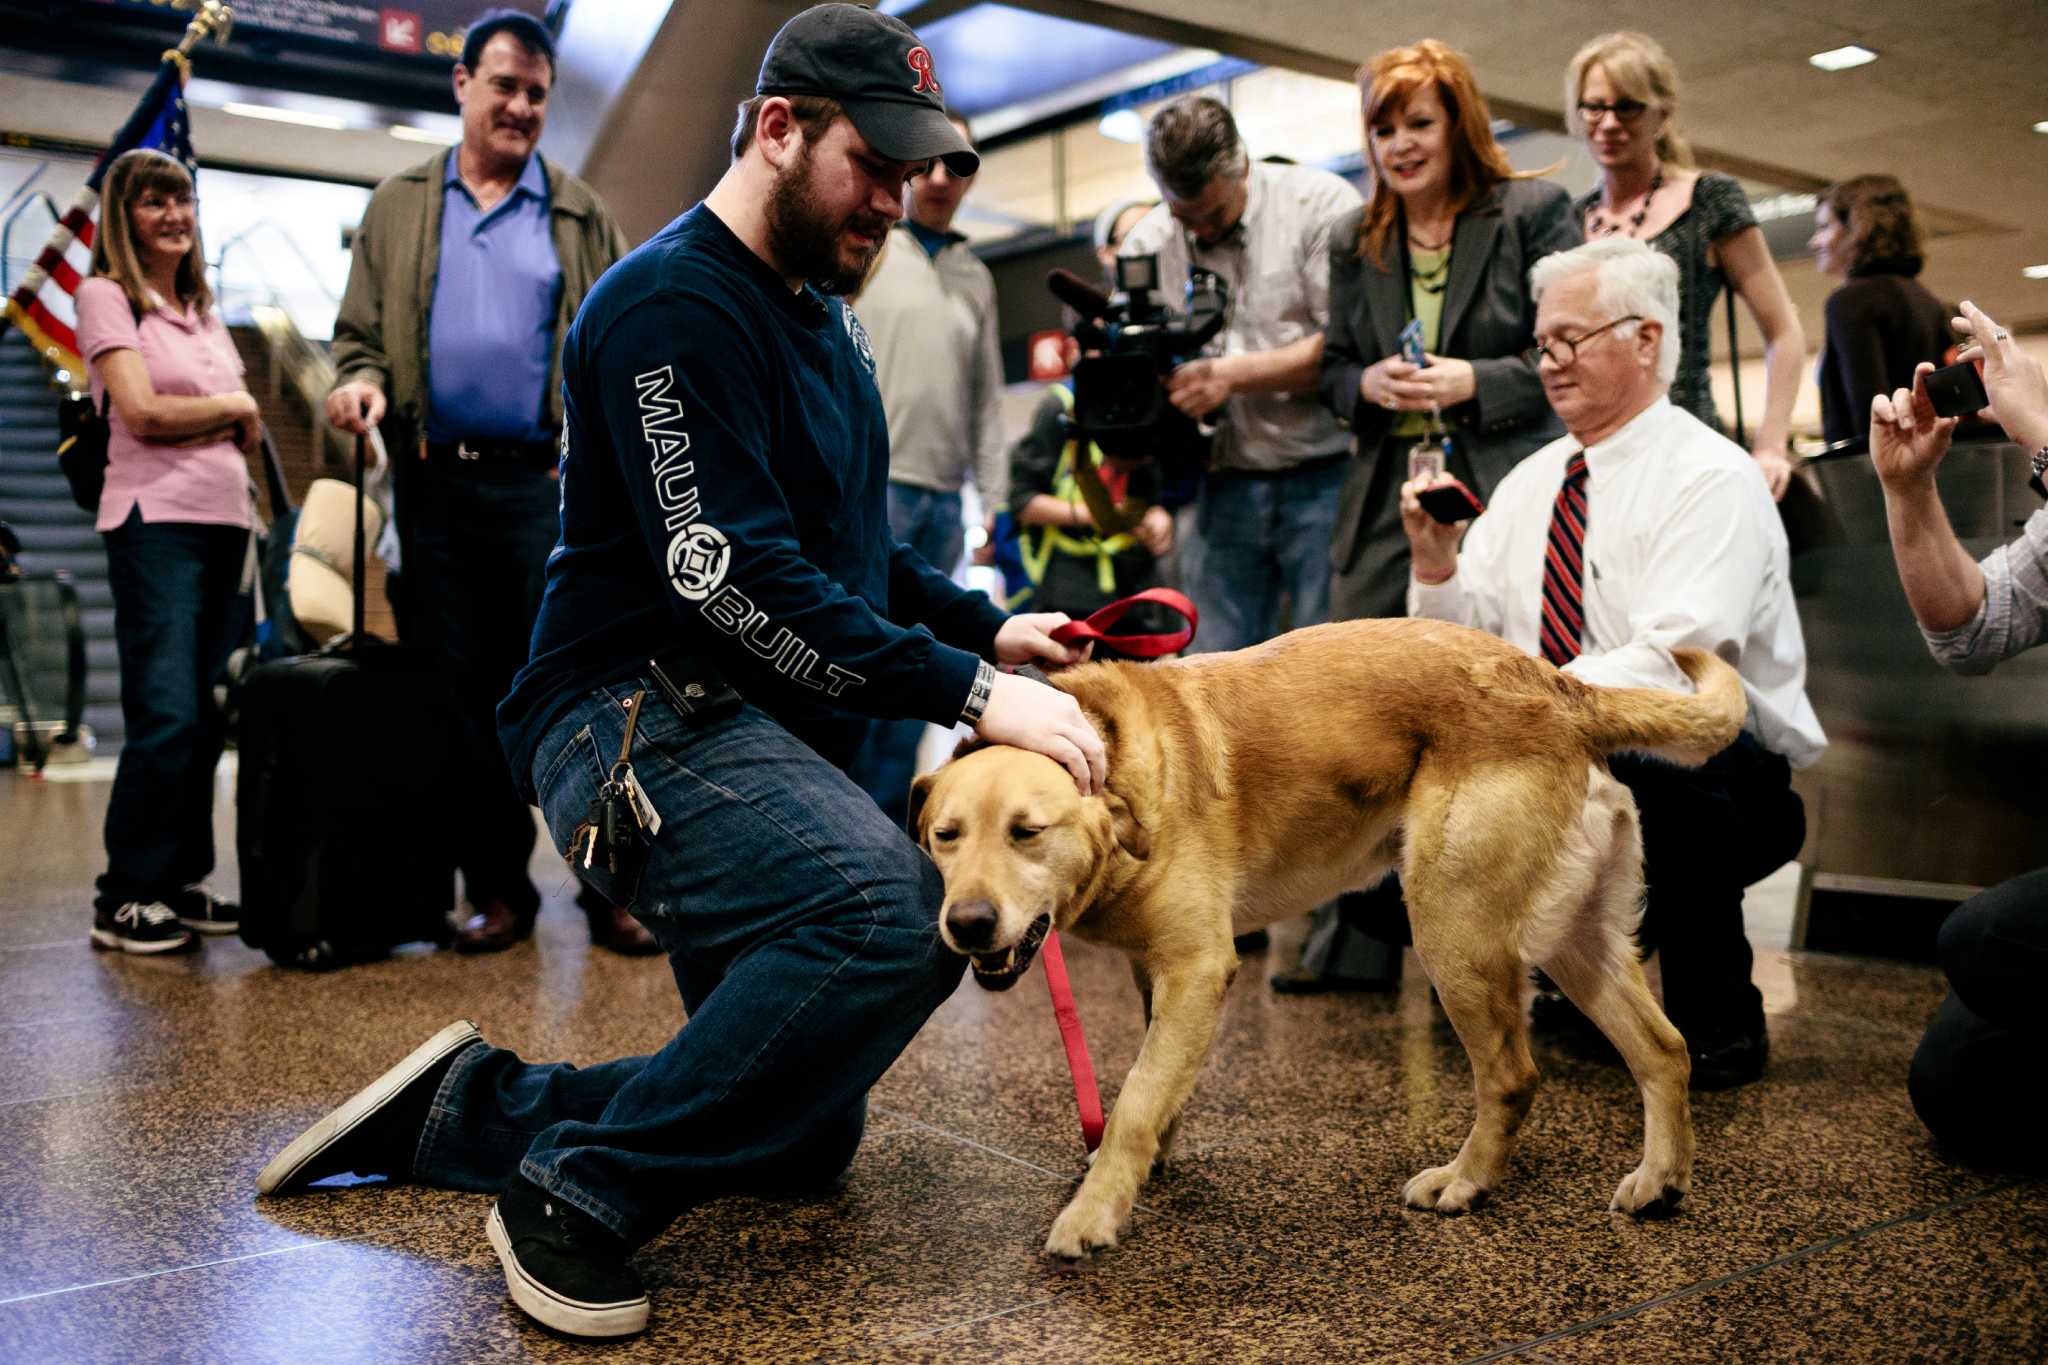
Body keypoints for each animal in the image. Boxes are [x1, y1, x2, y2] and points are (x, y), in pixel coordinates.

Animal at [913, 618, 1744, 1260]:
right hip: (1576, 939)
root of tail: (1558, 689)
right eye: (945, 836)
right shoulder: (1158, 973)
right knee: (1664, 1049)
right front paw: (1145, 1165)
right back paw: (1661, 1179)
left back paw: (1466, 1180)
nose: (967, 923)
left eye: (1027, 831)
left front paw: (1094, 1208)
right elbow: (1159, 1083)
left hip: (1454, 934)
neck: (1115, 773)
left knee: (1513, 1075)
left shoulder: (1197, 966)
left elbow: (1136, 1100)